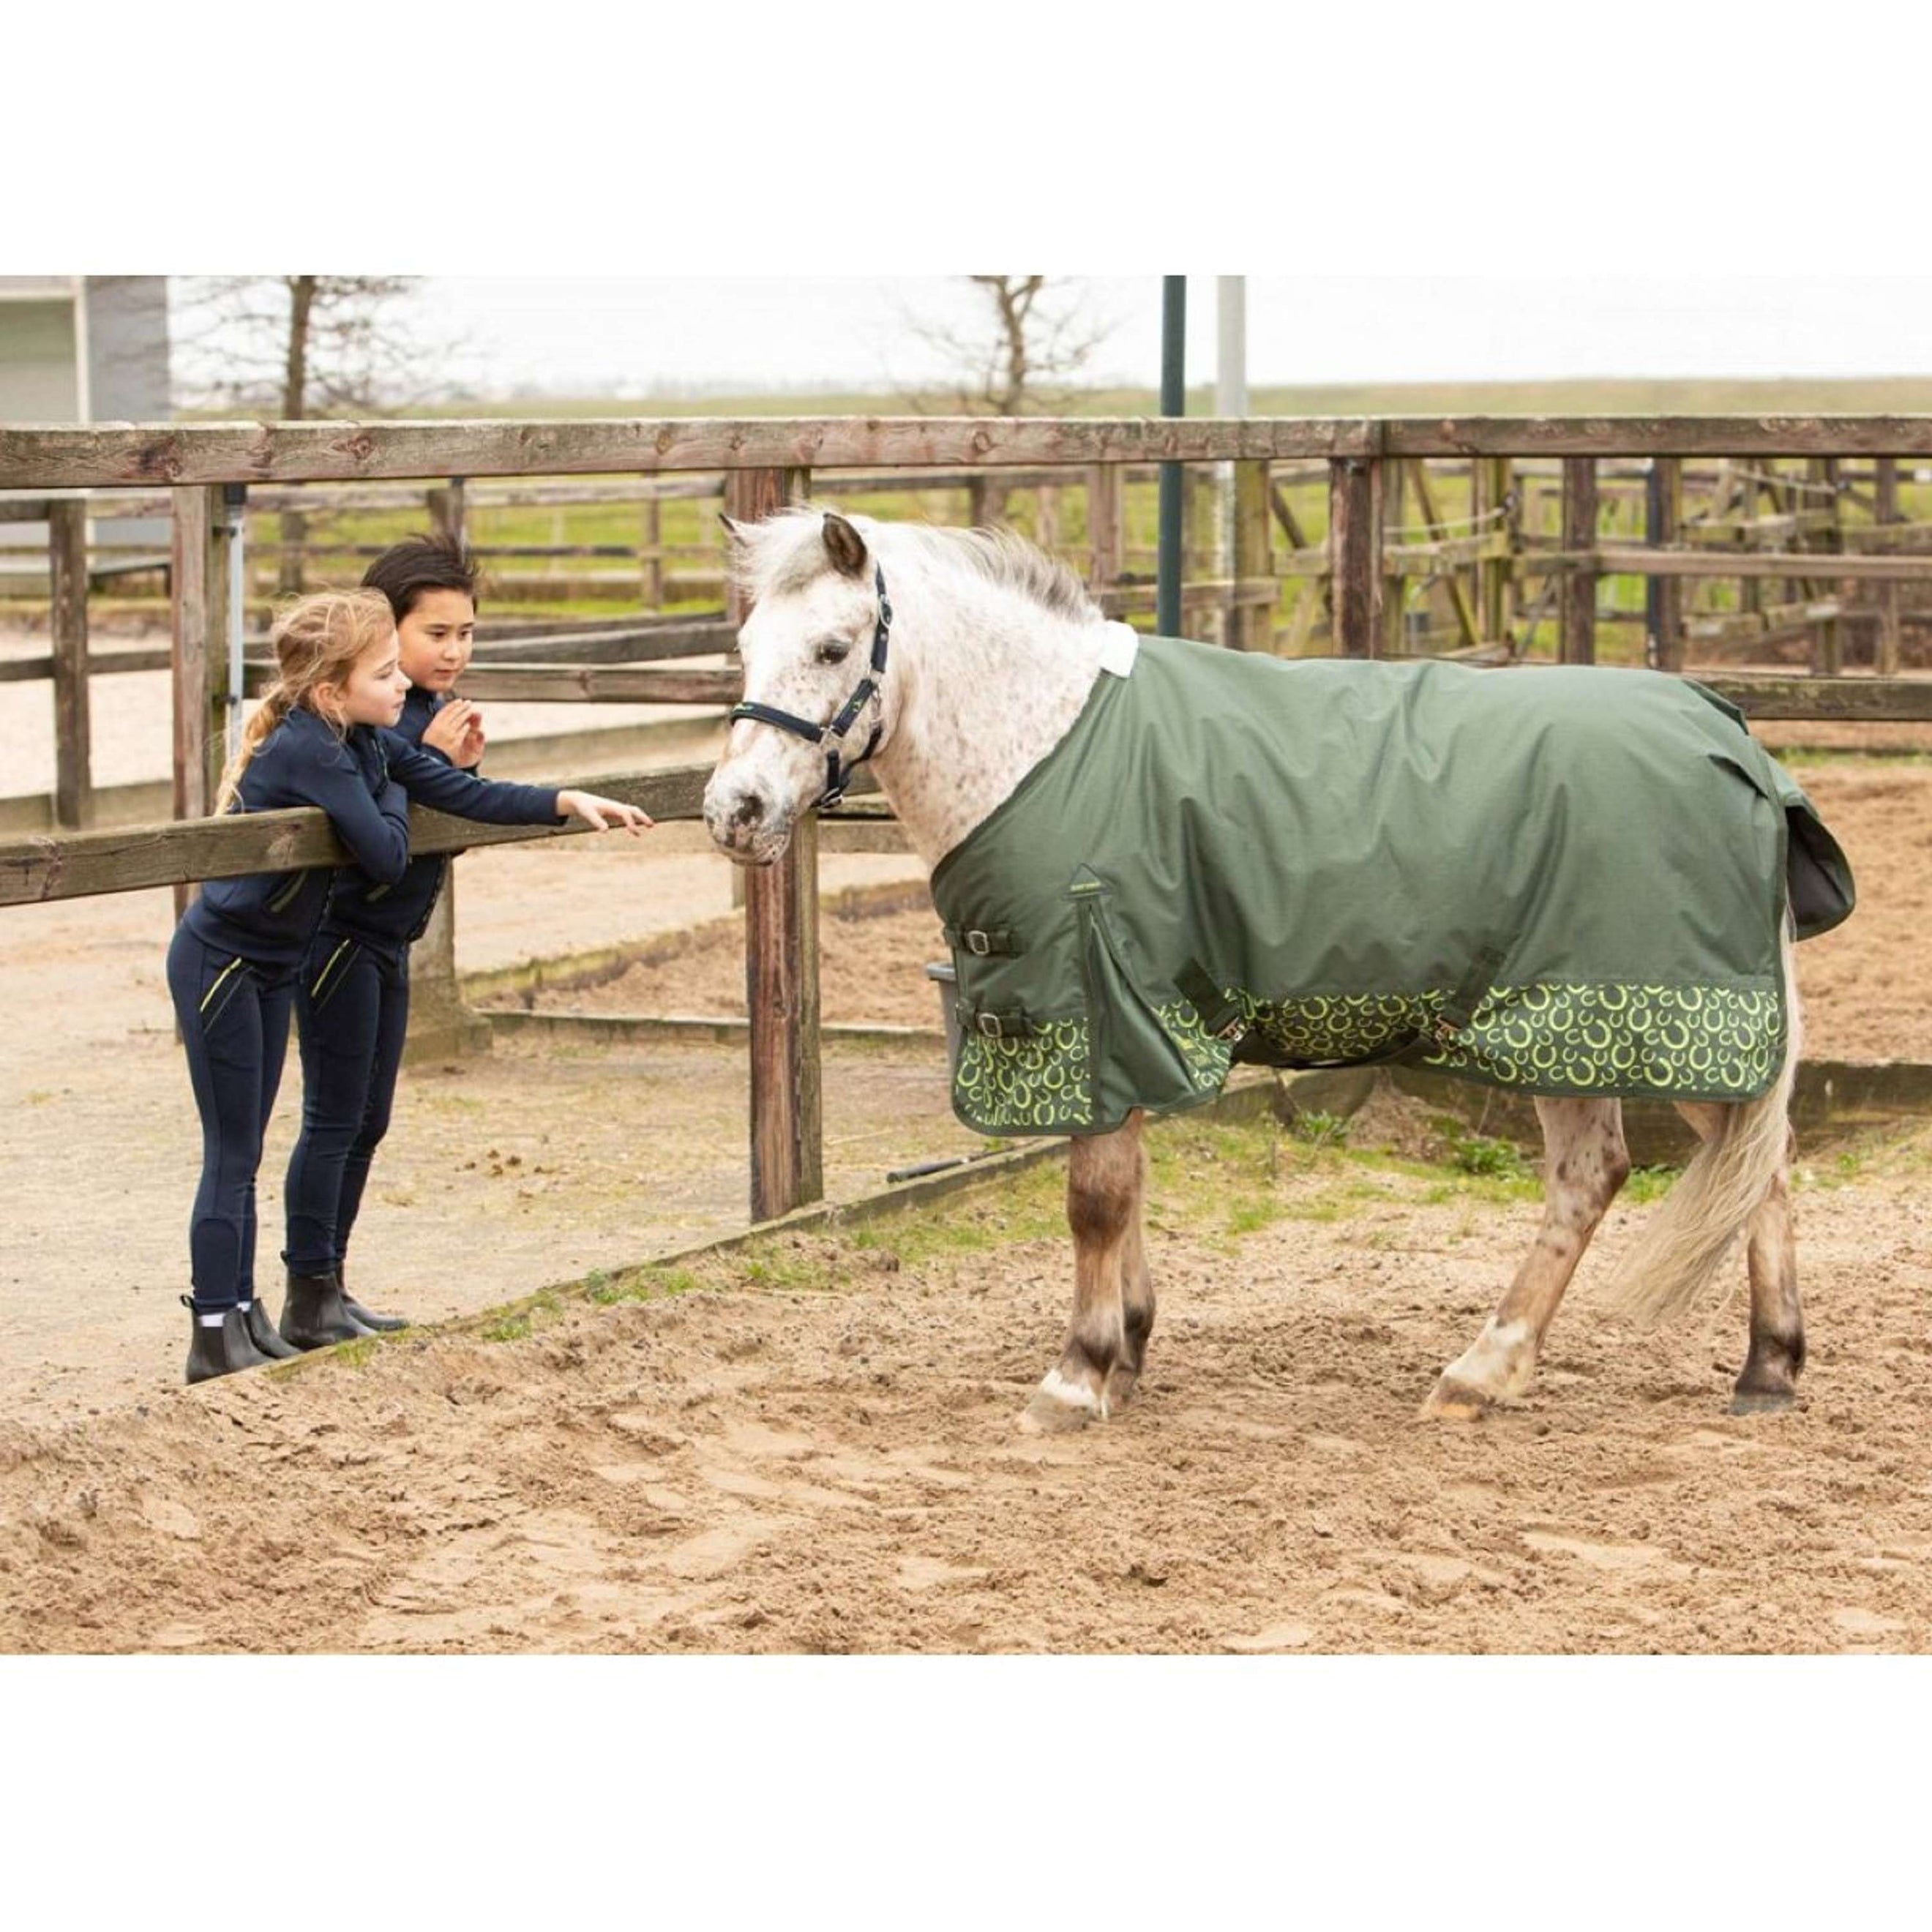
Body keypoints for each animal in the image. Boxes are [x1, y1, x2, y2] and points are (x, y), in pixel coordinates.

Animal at [703, 506, 1853, 1431]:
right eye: (746, 647)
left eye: (833, 645)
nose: (734, 812)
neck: (1046, 746)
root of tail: (1735, 743)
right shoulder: (1122, 1025)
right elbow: (1128, 1185)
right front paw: (1127, 1350)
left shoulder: (1096, 1005)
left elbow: (1094, 1197)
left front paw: (1076, 1377)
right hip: (1570, 1037)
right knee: (1627, 1175)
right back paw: (1571, 1373)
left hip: (1643, 1027)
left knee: (1737, 1168)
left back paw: (1712, 1371)